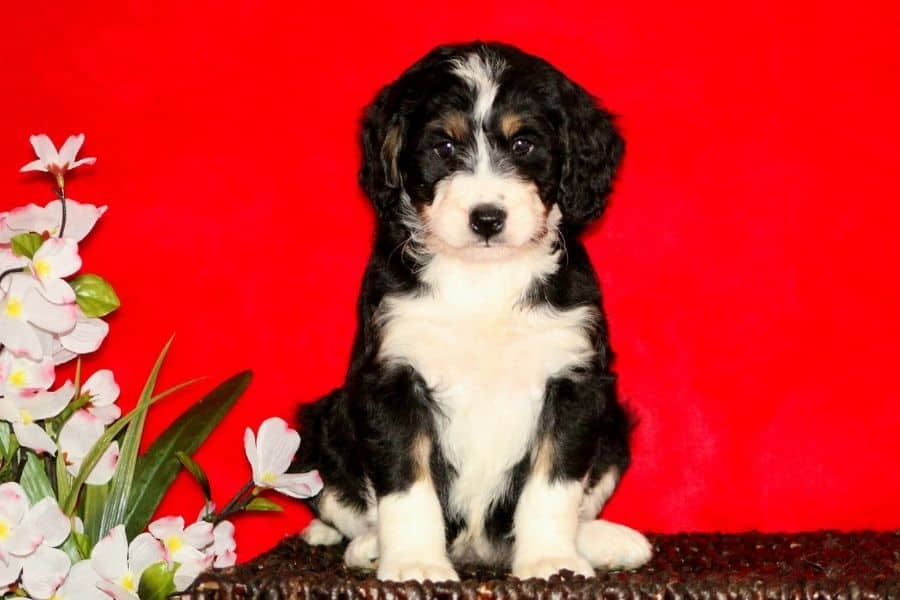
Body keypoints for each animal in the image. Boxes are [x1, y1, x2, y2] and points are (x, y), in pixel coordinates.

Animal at [296, 41, 652, 580]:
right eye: (444, 147)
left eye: (524, 144)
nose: (487, 219)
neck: (484, 281)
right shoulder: (393, 376)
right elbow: (406, 484)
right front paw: (415, 564)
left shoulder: (573, 380)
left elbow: (554, 485)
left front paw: (551, 560)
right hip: (320, 427)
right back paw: (366, 546)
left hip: (613, 427)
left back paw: (604, 540)